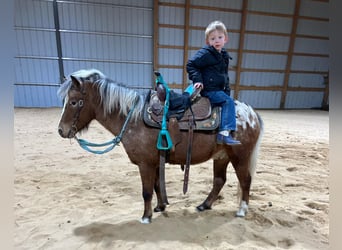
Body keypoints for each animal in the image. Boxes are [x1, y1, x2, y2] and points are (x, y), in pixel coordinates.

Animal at [57, 69, 264, 225]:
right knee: (219, 181)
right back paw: (204, 205)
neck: (133, 118)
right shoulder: (155, 162)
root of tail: (251, 113)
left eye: (74, 102)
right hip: (221, 156)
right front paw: (159, 207)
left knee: (245, 180)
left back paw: (242, 210)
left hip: (240, 157)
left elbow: (146, 191)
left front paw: (146, 217)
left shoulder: (145, 164)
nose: (61, 130)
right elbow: (157, 186)